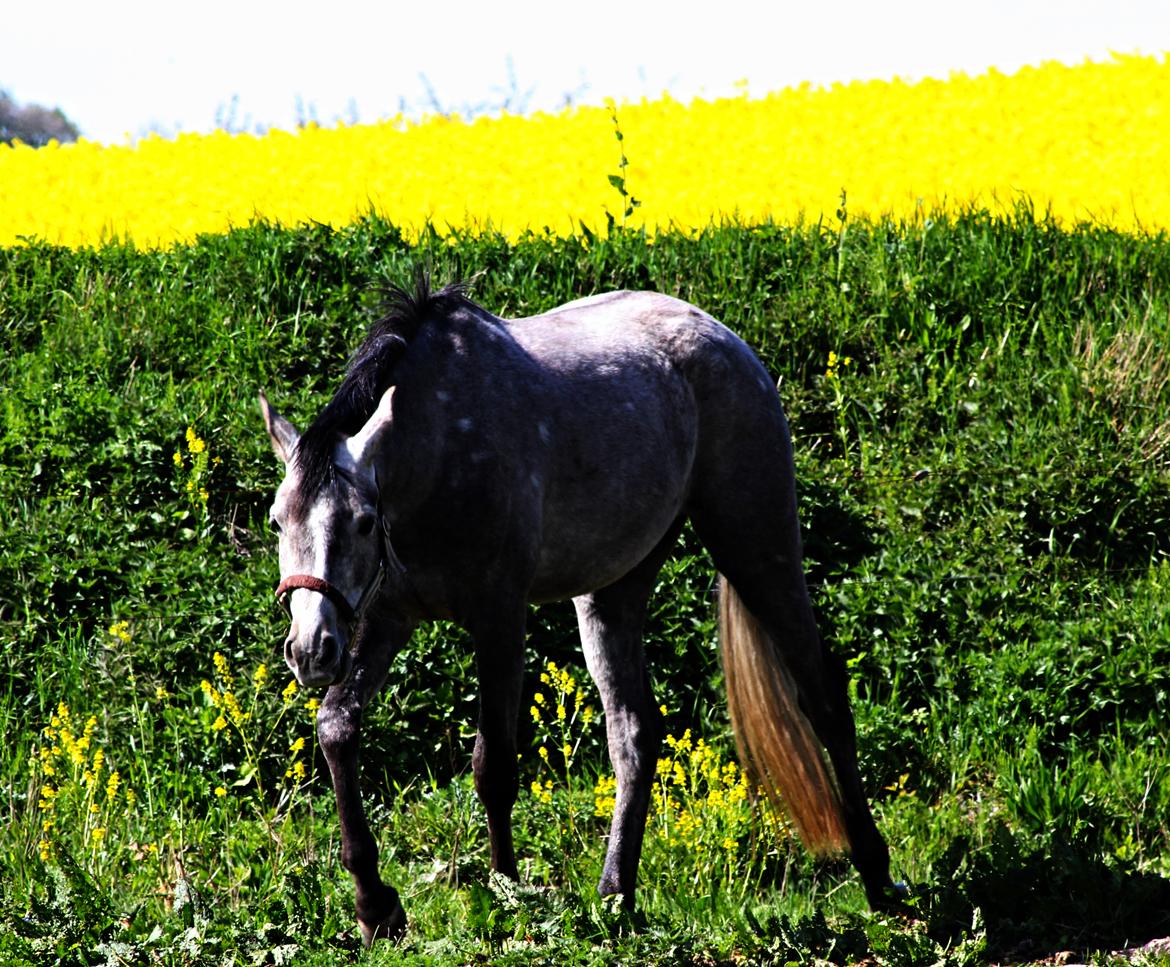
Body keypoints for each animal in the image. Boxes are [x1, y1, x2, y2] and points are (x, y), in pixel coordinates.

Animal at [260, 275, 898, 936]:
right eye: (277, 520)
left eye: (362, 521)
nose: (310, 649)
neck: (440, 446)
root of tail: (729, 342)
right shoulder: (389, 615)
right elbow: (337, 727)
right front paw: (374, 904)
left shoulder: (498, 616)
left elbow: (493, 766)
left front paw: (507, 893)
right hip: (613, 591)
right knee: (634, 730)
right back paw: (617, 894)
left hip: (757, 546)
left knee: (824, 699)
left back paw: (878, 877)